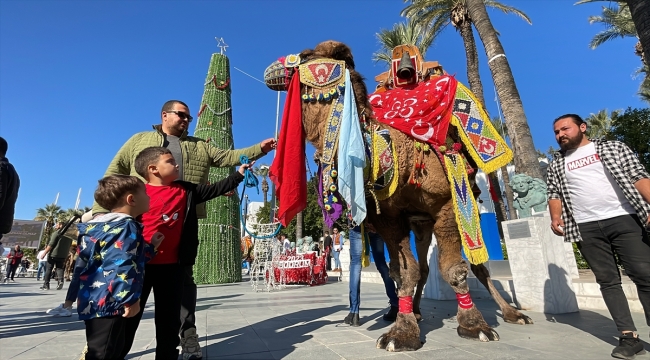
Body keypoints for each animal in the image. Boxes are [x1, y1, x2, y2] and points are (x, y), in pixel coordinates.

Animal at [264, 41, 532, 352]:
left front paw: (474, 325)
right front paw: (403, 331)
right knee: (424, 267)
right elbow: (404, 271)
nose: (271, 69)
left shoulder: (447, 206)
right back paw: (416, 310)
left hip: (463, 205)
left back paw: (513, 313)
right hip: (420, 222)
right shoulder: (390, 217)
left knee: (477, 266)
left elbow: (454, 269)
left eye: (305, 57)